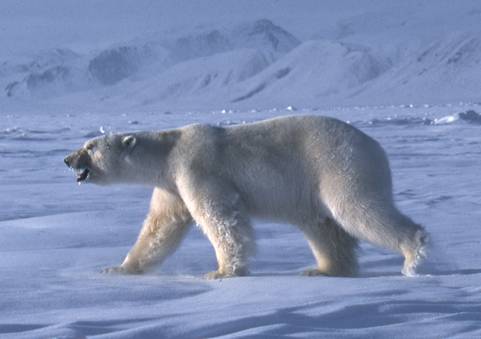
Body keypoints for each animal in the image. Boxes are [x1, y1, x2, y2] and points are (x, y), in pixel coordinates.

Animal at [64, 115, 428, 278]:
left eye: (90, 147)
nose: (67, 159)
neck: (168, 152)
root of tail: (376, 147)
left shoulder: (196, 169)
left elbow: (222, 219)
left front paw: (222, 272)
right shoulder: (171, 186)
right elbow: (160, 228)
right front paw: (119, 268)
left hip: (339, 167)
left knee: (357, 210)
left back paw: (414, 256)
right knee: (323, 227)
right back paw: (323, 269)